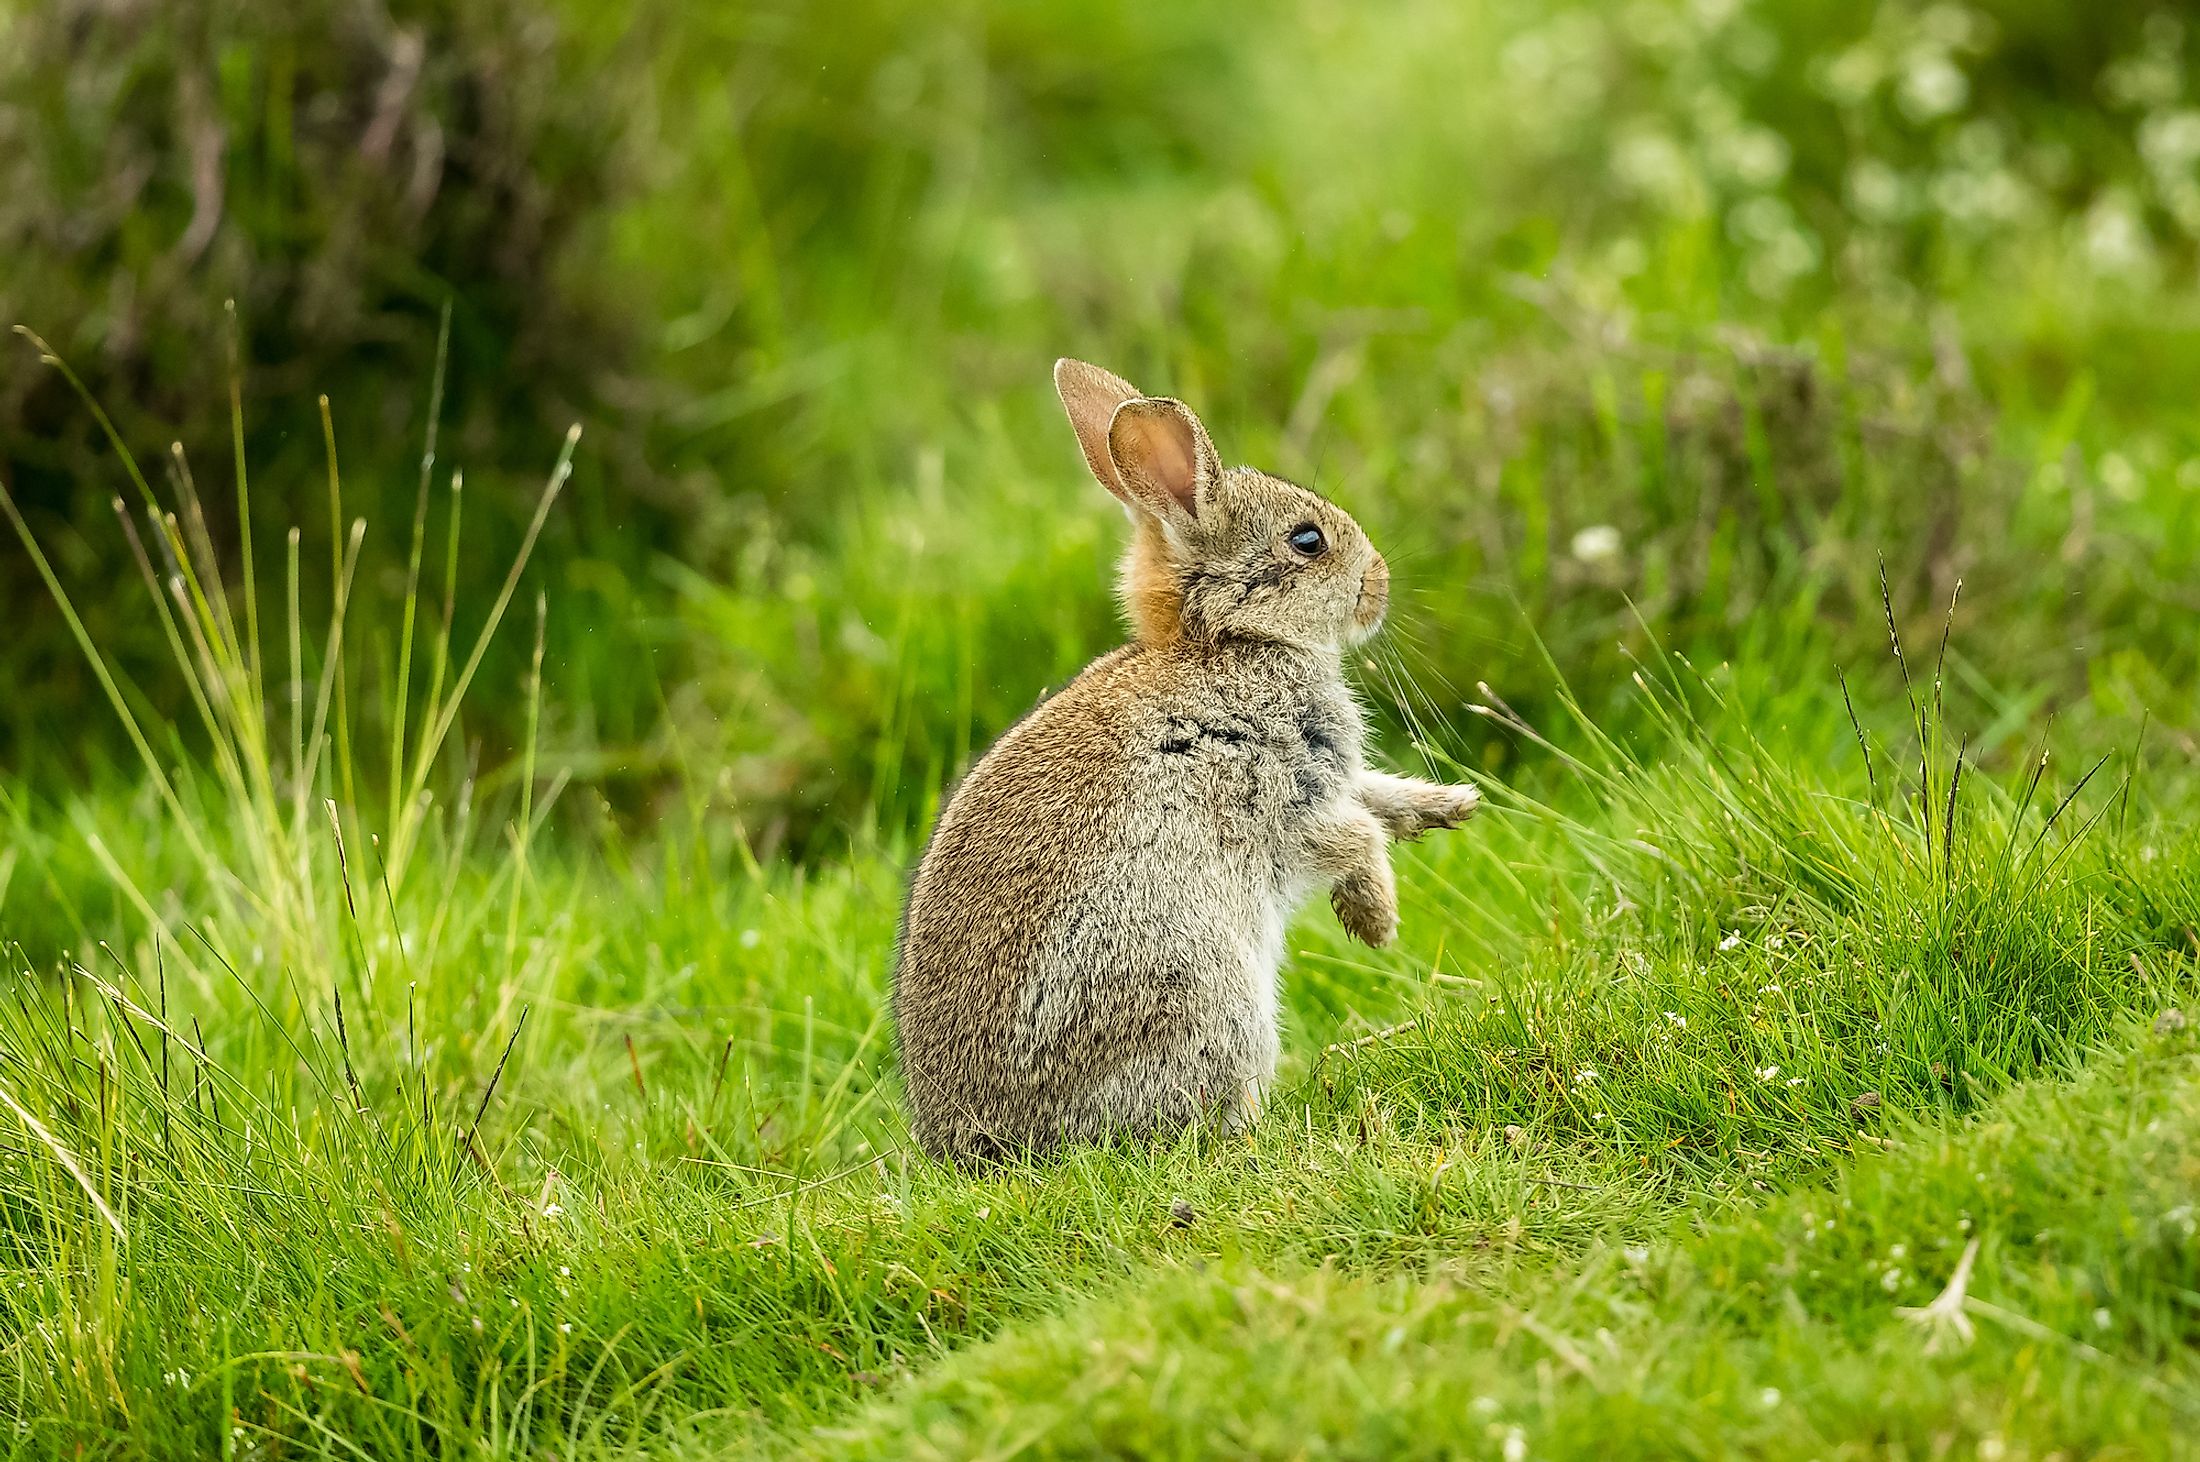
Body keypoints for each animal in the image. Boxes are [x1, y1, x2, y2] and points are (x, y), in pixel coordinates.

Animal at [888, 358, 1478, 1160]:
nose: (1379, 586)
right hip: (1203, 991)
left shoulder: (1334, 780)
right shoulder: (1277, 795)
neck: (1228, 643)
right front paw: (1375, 923)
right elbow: (1353, 837)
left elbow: (1376, 799)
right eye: (1307, 541)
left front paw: (1452, 806)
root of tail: (979, 1146)